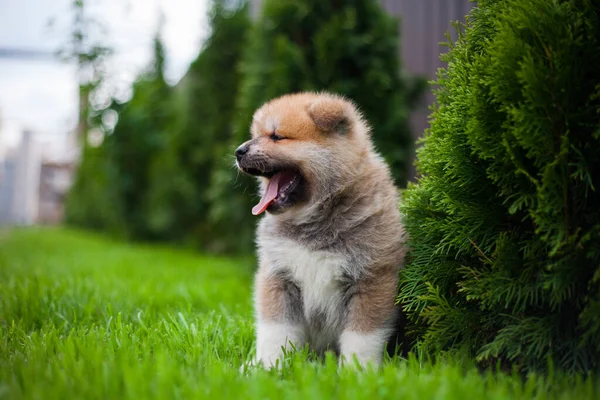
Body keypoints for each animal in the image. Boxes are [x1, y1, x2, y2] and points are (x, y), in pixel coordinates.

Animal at [236, 92, 408, 368]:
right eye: (256, 134)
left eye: (277, 136)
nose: (238, 151)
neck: (312, 219)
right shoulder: (279, 278)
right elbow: (275, 332)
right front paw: (267, 366)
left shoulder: (371, 279)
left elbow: (361, 337)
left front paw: (356, 371)